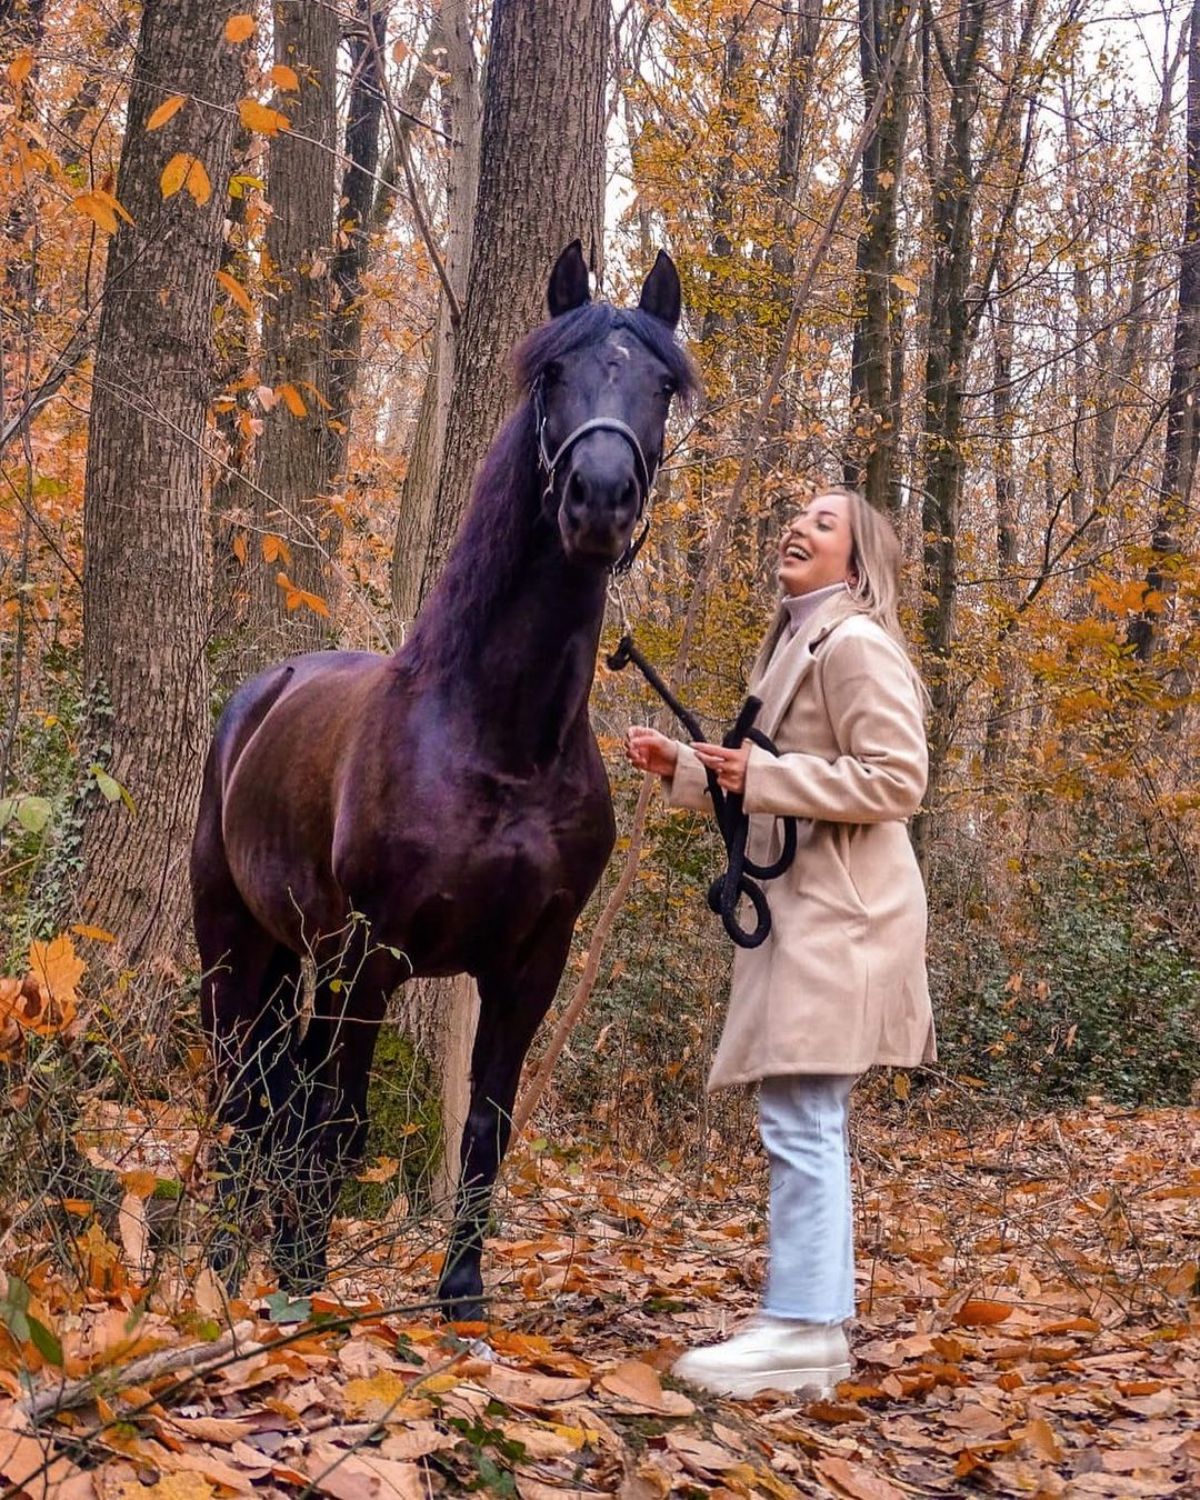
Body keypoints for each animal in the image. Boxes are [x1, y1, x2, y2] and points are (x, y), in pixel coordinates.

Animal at [192, 243, 699, 1314]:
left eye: (661, 385)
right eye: (552, 375)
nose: (599, 498)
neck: (498, 744)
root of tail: (263, 691)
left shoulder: (532, 962)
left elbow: (487, 1121)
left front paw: (459, 1287)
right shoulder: (370, 954)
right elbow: (338, 1123)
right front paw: (305, 1288)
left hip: (292, 953)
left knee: (270, 1095)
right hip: (233, 939)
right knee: (240, 1095)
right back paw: (219, 1267)